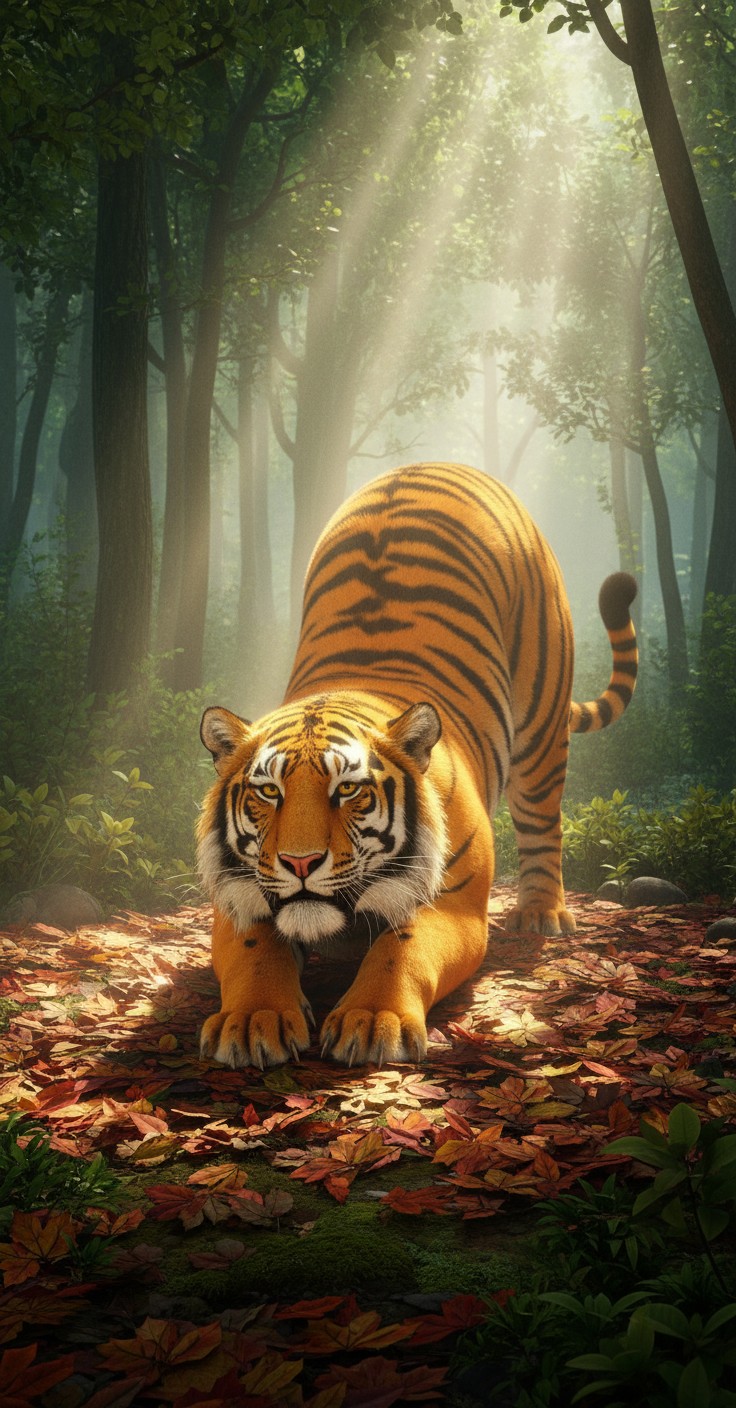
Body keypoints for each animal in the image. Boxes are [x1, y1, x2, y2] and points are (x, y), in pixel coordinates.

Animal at [197, 461, 637, 1069]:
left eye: (348, 790)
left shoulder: (453, 902)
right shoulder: (238, 896)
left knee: (542, 823)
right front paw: (252, 1020)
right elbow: (254, 947)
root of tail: (434, 463)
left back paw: (541, 914)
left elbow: (401, 950)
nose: (300, 862)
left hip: (542, 719)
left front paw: (370, 1019)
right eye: (269, 792)